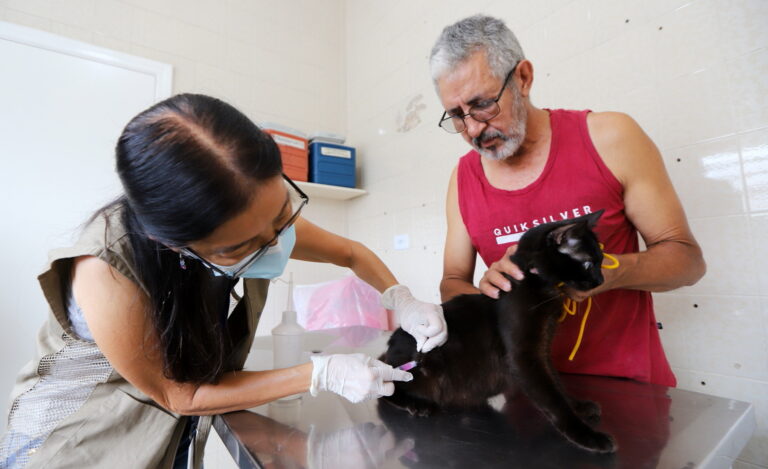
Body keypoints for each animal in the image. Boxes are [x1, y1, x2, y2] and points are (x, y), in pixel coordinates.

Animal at [382, 209, 616, 454]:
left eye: (601, 261)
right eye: (588, 263)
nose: (600, 280)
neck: (536, 282)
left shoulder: (542, 350)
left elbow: (557, 384)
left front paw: (579, 406)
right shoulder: (524, 357)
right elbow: (553, 400)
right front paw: (587, 436)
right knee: (387, 389)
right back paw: (417, 404)